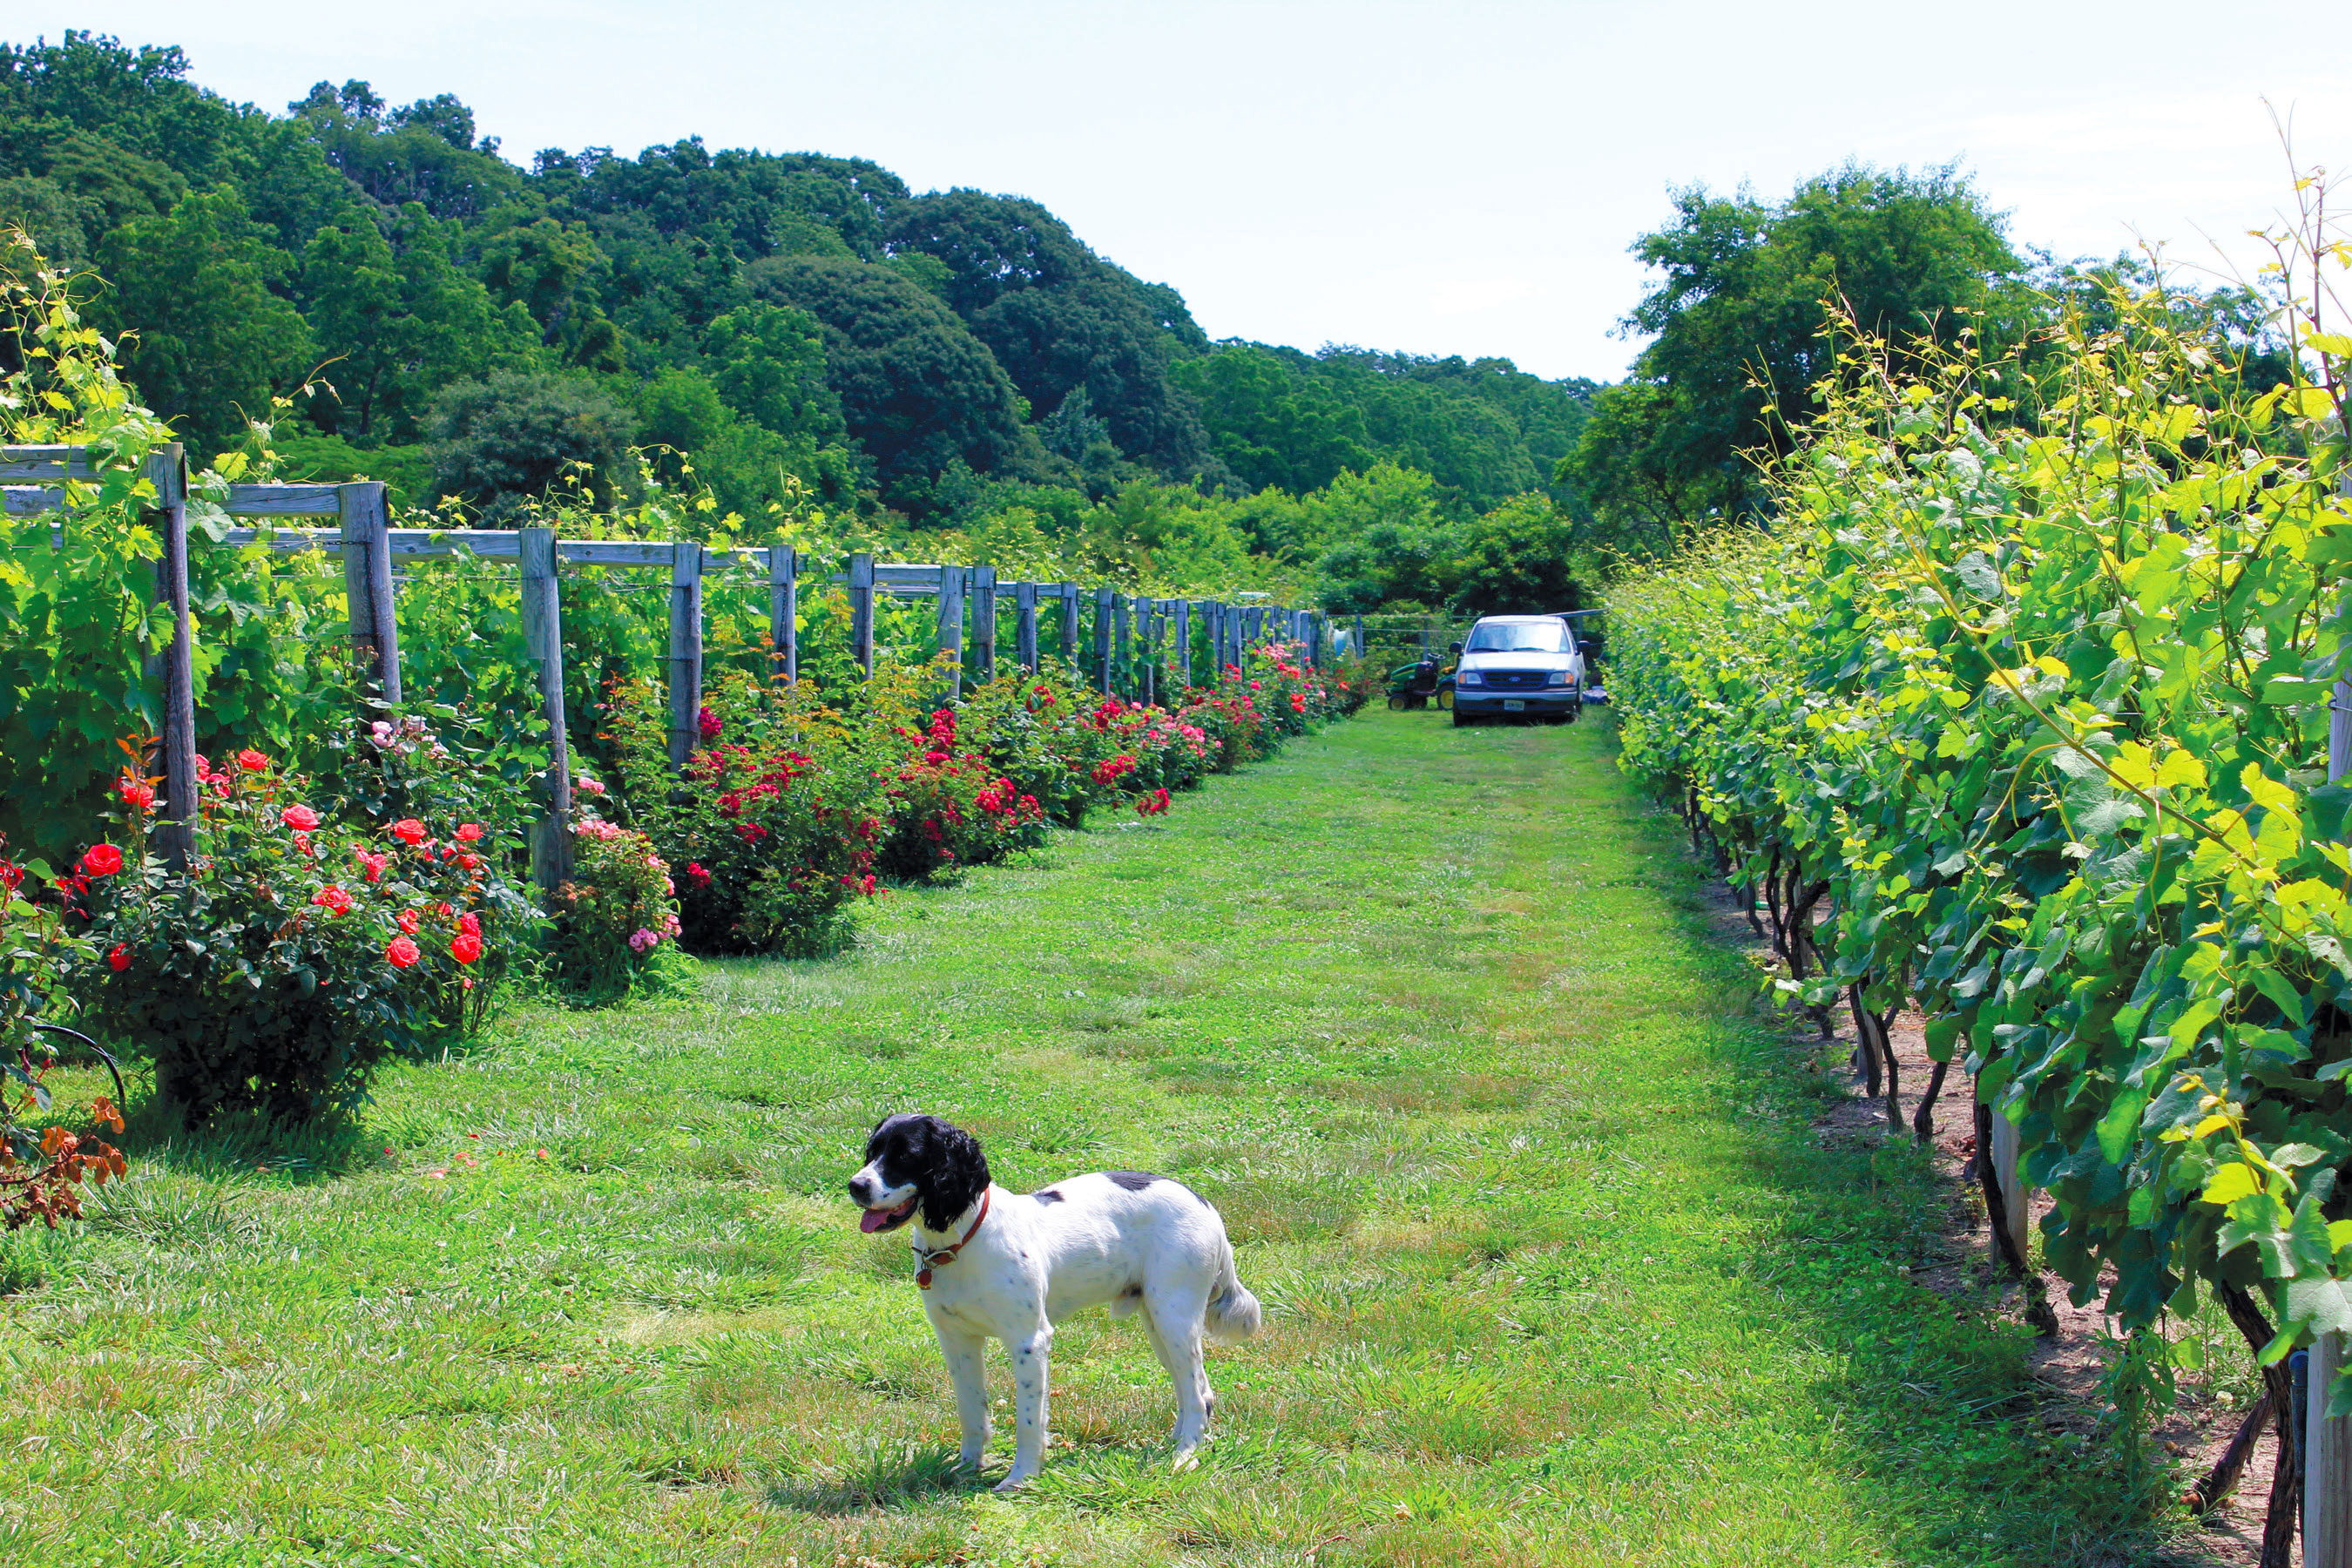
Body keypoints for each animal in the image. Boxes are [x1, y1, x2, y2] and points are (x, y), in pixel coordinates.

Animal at [841, 1109, 1251, 1495]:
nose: (855, 1186)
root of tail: (1205, 1206)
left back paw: (1184, 1455)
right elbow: (971, 1410)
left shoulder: (1029, 1341)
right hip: (1158, 1323)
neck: (961, 1242)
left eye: (905, 1156)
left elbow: (1029, 1419)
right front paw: (968, 1466)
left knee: (1197, 1393)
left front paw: (1021, 1477)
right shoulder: (957, 1339)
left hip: (1174, 1319)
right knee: (1195, 1390)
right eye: (871, 1151)